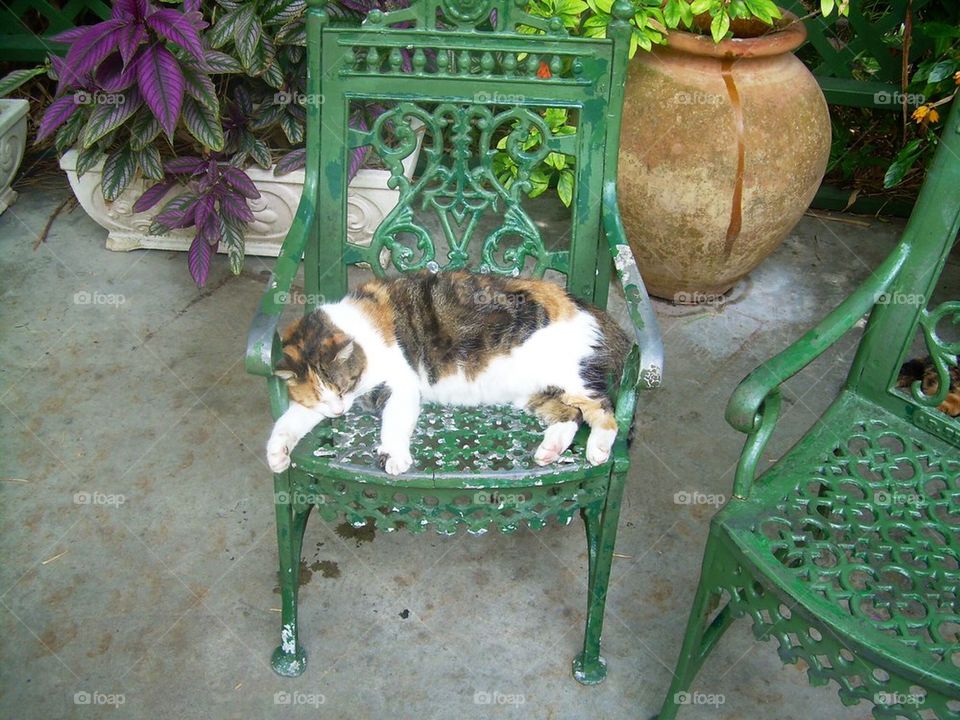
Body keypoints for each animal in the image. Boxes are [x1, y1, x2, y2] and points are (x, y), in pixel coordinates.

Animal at [266, 270, 632, 472]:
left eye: (343, 386)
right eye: (324, 398)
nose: (339, 411)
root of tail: (582, 304)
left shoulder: (402, 384)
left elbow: (394, 422)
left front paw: (394, 456)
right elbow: (288, 422)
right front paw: (276, 454)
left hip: (571, 377)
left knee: (603, 410)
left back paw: (598, 450)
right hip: (533, 392)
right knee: (569, 416)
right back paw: (550, 450)